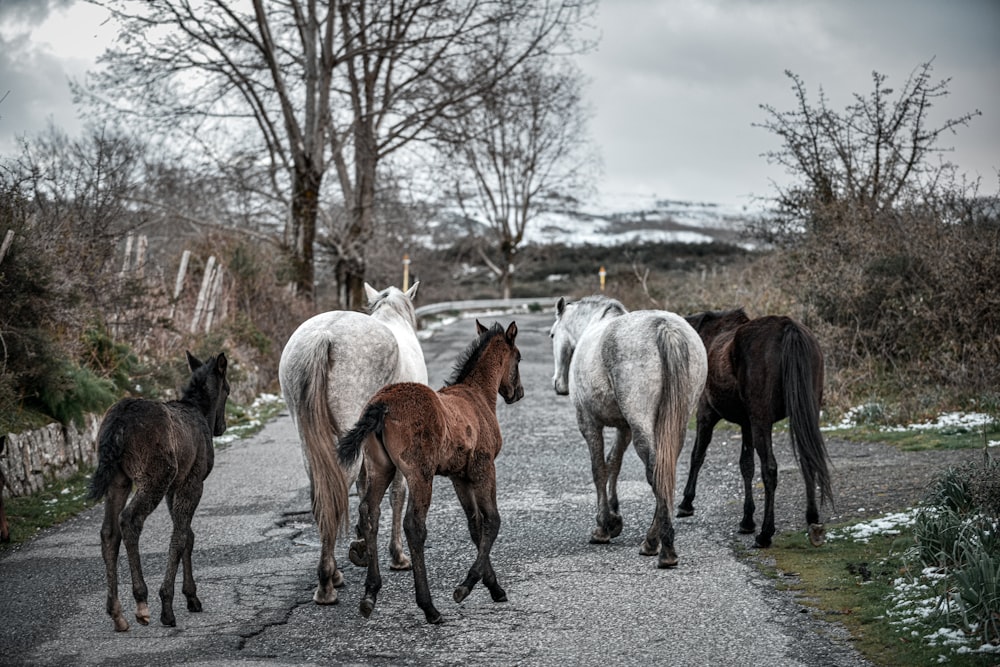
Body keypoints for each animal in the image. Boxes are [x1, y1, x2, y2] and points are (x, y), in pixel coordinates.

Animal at [88, 352, 230, 636]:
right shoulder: (192, 481)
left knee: (109, 531)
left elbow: (188, 535)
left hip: (119, 479)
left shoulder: (175, 487)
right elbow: (180, 536)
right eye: (228, 390)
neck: (201, 411)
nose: (222, 426)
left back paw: (116, 612)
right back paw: (141, 602)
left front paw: (191, 596)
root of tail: (118, 421)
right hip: (154, 476)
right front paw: (169, 603)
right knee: (129, 521)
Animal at [278, 282, 426, 604]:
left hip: (312, 439)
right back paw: (326, 584)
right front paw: (397, 556)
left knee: (323, 494)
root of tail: (324, 335)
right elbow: (395, 494)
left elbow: (366, 489)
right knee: (335, 496)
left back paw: (332, 575)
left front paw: (361, 541)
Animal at [336, 324, 524, 628]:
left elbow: (475, 524)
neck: (478, 395)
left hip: (381, 468)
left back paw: (370, 595)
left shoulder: (460, 477)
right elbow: (492, 521)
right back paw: (429, 607)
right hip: (420, 474)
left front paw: (493, 586)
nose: (518, 392)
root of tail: (382, 404)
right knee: (414, 525)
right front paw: (466, 587)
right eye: (518, 358)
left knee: (369, 513)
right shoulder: (484, 468)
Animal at [552, 298, 708, 568]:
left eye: (552, 335)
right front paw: (614, 518)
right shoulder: (623, 427)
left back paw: (661, 547)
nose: (558, 385)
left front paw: (603, 526)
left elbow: (599, 469)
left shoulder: (589, 424)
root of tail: (664, 327)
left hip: (641, 423)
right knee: (665, 470)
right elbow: (613, 463)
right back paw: (655, 540)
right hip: (673, 425)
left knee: (655, 472)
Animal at [676, 308, 832, 548]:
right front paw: (747, 520)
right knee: (808, 460)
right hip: (805, 412)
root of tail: (787, 327)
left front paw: (686, 502)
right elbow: (746, 466)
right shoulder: (746, 424)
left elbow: (697, 456)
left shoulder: (706, 414)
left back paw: (766, 533)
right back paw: (812, 520)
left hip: (762, 420)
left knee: (770, 469)